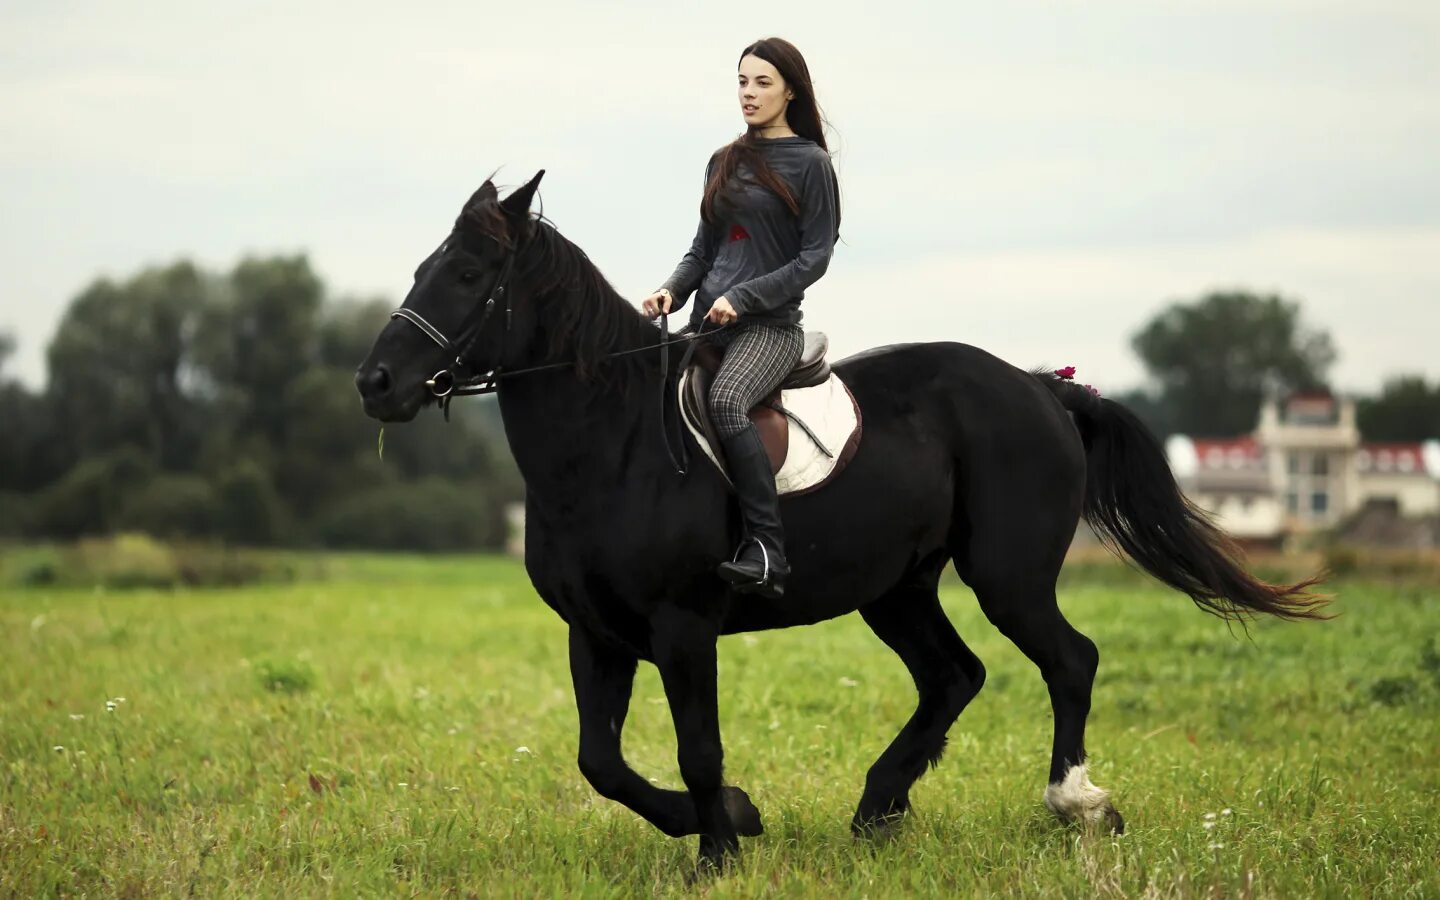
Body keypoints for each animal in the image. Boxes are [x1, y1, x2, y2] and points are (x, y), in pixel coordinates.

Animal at [354, 172, 1319, 869]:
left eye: (468, 276)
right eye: (423, 269)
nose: (375, 383)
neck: (614, 442)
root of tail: (1040, 387)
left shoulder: (681, 626)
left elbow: (697, 748)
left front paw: (718, 850)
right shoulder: (595, 631)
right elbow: (603, 762)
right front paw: (733, 819)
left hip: (1006, 575)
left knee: (1067, 660)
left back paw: (1077, 803)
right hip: (897, 589)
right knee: (954, 675)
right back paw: (878, 807)